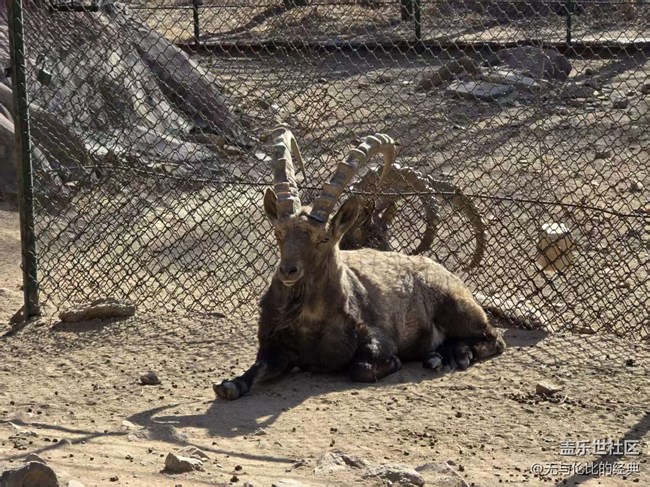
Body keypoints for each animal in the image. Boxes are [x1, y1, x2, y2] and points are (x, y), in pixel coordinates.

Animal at [213, 126, 506, 400]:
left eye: (324, 239)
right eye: (279, 234)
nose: (288, 270)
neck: (309, 320)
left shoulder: (377, 337)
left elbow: (360, 368)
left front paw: (393, 362)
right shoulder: (274, 347)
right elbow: (253, 371)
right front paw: (229, 384)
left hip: (454, 305)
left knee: (495, 337)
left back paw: (454, 355)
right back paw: (443, 355)